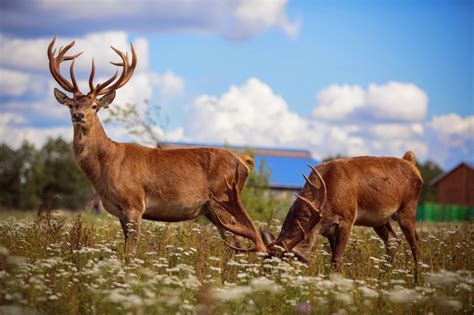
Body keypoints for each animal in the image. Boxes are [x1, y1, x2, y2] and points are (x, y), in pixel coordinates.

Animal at [47, 37, 266, 254]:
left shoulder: (134, 203)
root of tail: (243, 161)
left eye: (94, 106)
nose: (78, 115)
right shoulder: (119, 211)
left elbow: (131, 251)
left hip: (223, 199)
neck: (105, 165)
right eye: (71, 104)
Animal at [262, 153, 422, 278]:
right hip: (379, 220)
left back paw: (417, 281)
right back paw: (382, 279)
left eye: (285, 265)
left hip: (408, 207)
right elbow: (335, 259)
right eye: (265, 264)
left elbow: (337, 259)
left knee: (415, 244)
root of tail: (412, 165)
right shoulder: (328, 231)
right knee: (393, 240)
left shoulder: (347, 219)